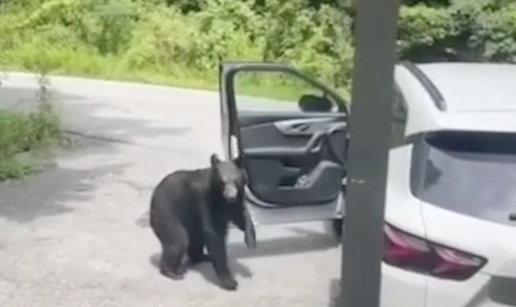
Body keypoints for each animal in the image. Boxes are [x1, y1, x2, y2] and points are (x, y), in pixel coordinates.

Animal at [149, 154, 254, 292]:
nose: (230, 196)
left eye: (235, 180)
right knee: (178, 241)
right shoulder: (205, 199)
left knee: (196, 239)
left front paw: (250, 238)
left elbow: (240, 215)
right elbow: (214, 234)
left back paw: (202, 256)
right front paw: (230, 281)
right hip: (167, 214)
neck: (220, 197)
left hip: (191, 220)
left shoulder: (237, 199)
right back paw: (172, 271)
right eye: (223, 182)